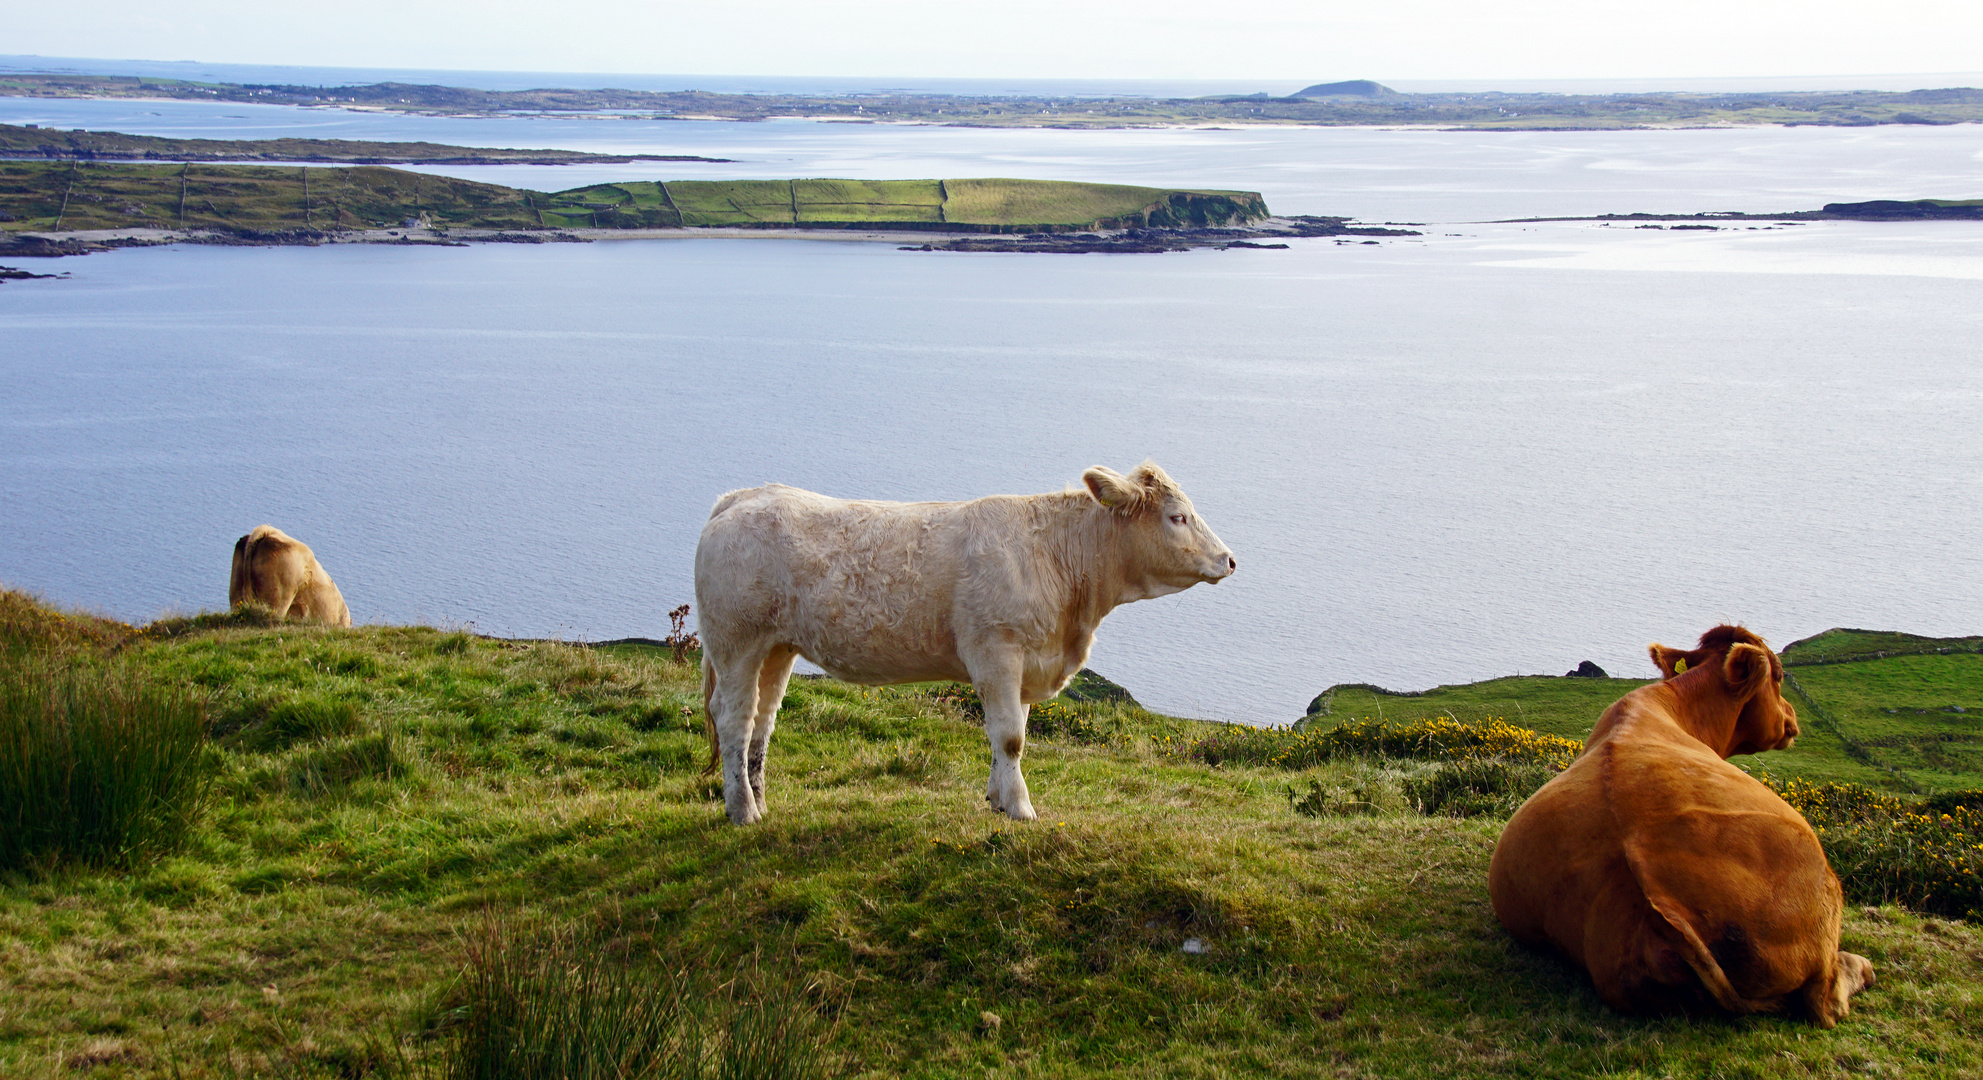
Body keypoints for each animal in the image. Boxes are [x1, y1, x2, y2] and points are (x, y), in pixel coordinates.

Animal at [690, 459, 1229, 820]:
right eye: (1177, 516)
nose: (1229, 559)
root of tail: (743, 496)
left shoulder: (1025, 660)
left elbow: (1010, 734)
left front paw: (997, 800)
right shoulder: (996, 650)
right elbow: (1010, 736)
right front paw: (1021, 809)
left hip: (776, 647)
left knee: (762, 720)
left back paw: (759, 802)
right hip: (736, 643)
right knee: (734, 719)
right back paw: (742, 811)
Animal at [1491, 626, 1871, 1022]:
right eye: (1780, 676)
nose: (1792, 716)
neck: (1677, 708)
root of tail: (1663, 907)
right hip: (1822, 890)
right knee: (1825, 1000)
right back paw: (1860, 968)